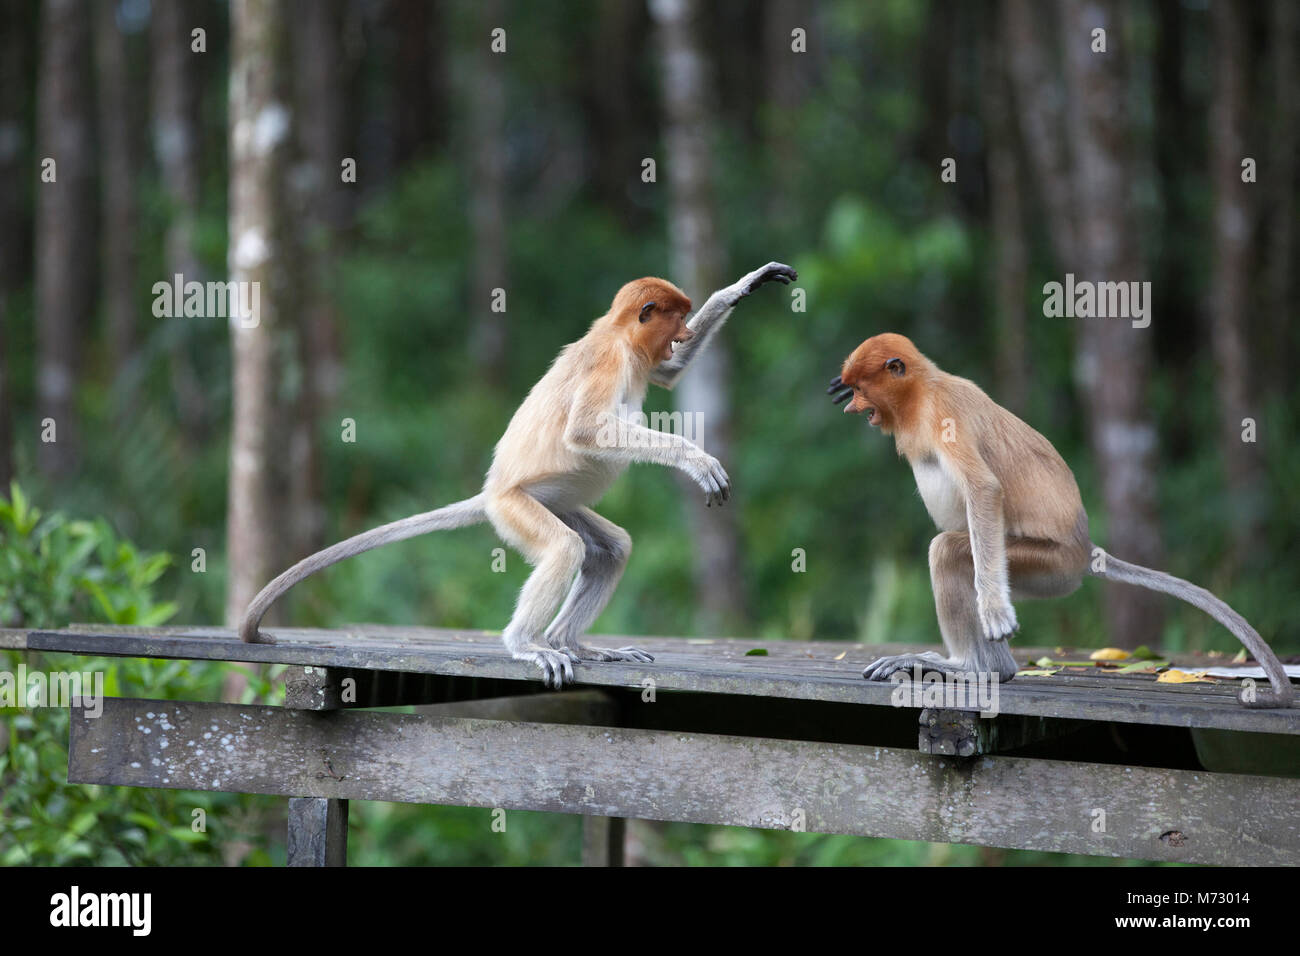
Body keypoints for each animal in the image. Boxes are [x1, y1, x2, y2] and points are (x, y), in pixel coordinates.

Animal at [239, 261, 795, 686]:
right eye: (674, 319)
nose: (683, 333)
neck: (615, 332)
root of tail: (491, 491)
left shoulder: (644, 361)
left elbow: (668, 372)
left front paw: (746, 284)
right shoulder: (611, 361)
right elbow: (586, 430)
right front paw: (697, 461)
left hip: (556, 501)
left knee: (610, 549)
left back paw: (574, 644)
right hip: (517, 508)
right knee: (565, 548)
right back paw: (530, 645)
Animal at [826, 332, 1294, 707]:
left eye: (862, 388)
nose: (852, 407)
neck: (921, 389)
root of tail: (1085, 547)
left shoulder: (943, 412)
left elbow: (984, 489)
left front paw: (995, 611)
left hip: (1046, 565)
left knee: (949, 551)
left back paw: (972, 668)